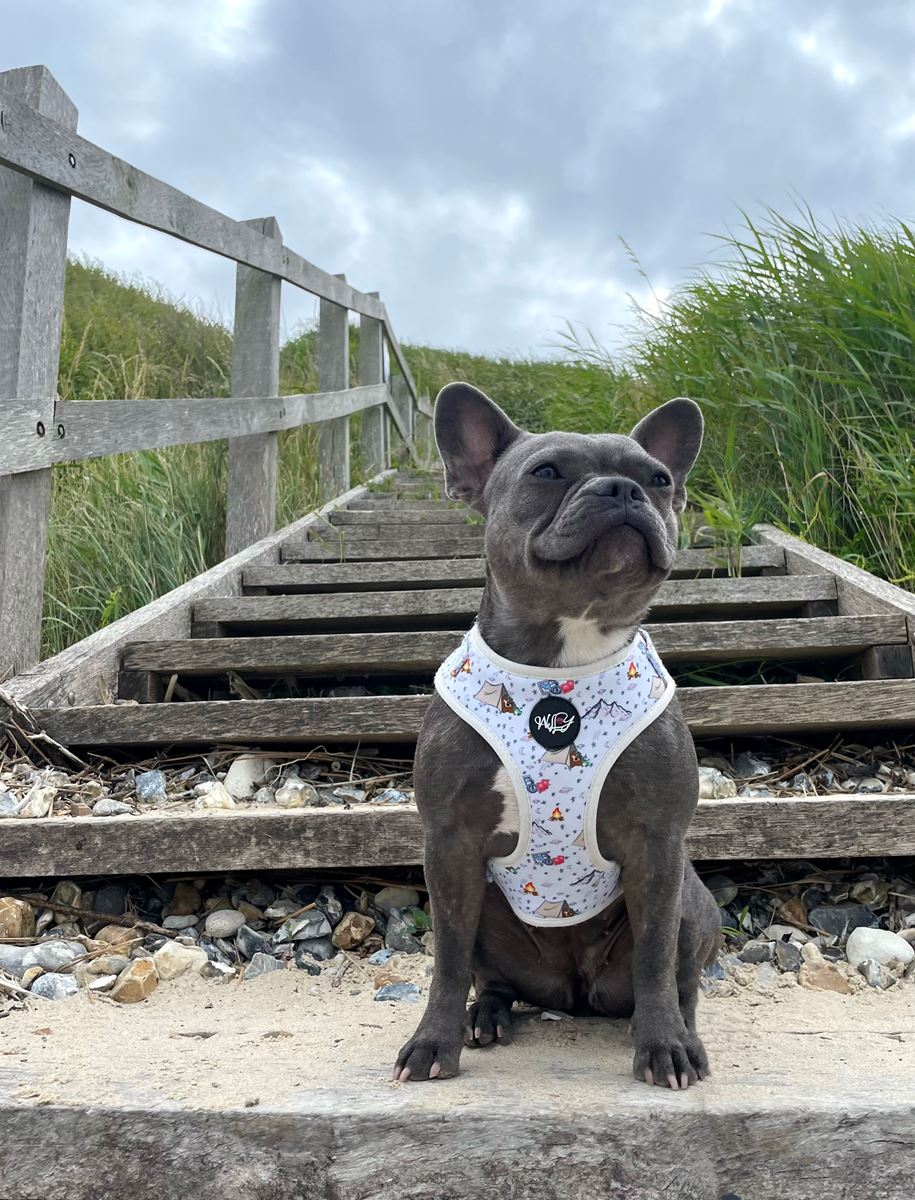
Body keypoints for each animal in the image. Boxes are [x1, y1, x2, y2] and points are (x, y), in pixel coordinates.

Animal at [394, 383, 721, 1090]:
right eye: (546, 473)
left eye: (659, 480)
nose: (624, 489)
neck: (562, 663)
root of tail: (577, 992)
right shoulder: (450, 845)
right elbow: (446, 960)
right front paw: (433, 1042)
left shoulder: (658, 847)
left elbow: (655, 957)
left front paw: (663, 1046)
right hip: (488, 903)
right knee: (489, 977)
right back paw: (485, 1017)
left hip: (690, 902)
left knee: (680, 977)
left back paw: (681, 1033)